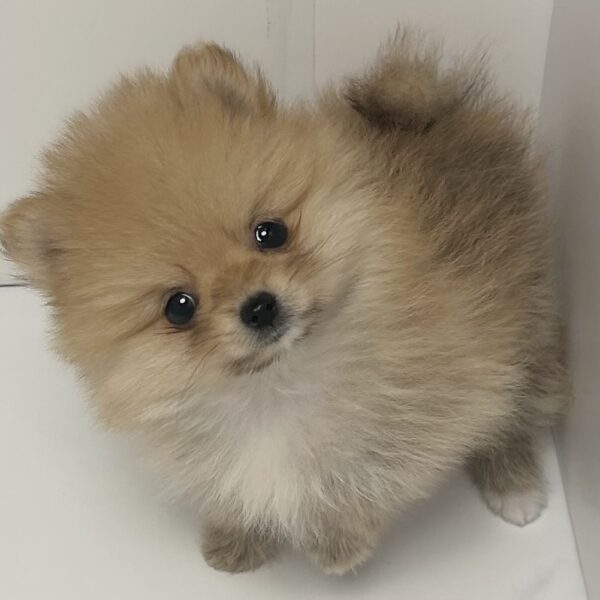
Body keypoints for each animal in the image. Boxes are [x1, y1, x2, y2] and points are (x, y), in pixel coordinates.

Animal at [1, 31, 568, 574]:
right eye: (179, 307)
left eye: (270, 232)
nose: (259, 306)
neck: (276, 382)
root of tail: (437, 110)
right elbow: (240, 490)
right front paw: (237, 541)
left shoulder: (439, 393)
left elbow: (374, 473)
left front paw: (338, 544)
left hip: (525, 317)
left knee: (517, 411)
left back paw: (515, 487)